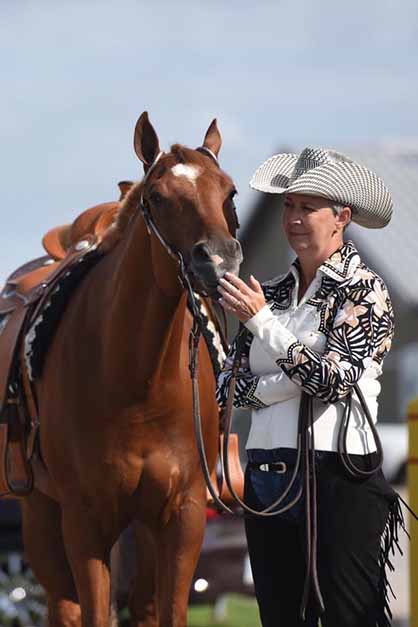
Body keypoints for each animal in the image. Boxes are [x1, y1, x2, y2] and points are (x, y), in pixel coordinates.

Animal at [21, 114, 243, 627]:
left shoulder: (182, 515)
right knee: (64, 605)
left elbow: (168, 610)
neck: (138, 387)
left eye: (229, 191)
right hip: (40, 510)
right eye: (156, 197)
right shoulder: (85, 519)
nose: (219, 260)